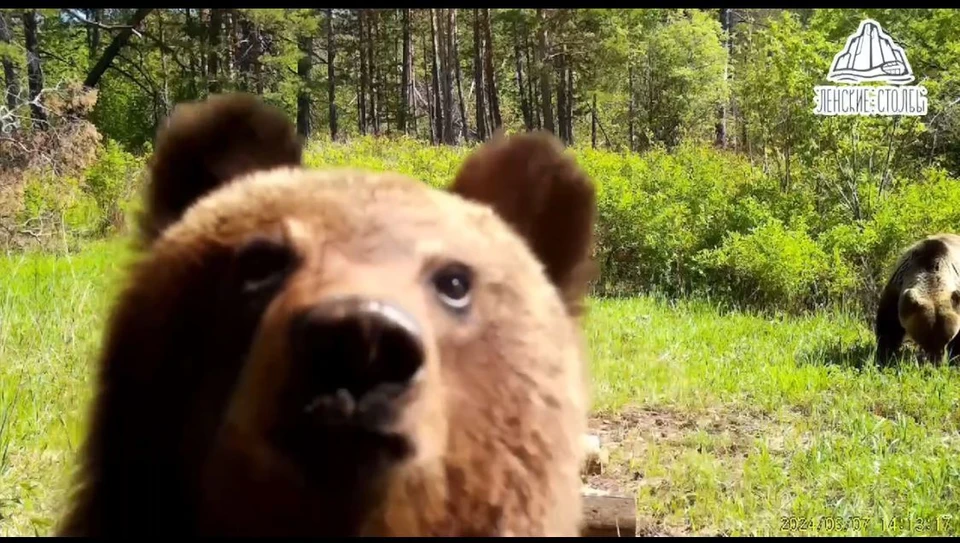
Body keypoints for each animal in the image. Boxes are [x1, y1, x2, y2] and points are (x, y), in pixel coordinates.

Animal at [876, 233, 960, 366]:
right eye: (924, 338)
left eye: (947, 338)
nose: (936, 361)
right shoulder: (896, 291)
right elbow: (888, 327)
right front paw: (885, 356)